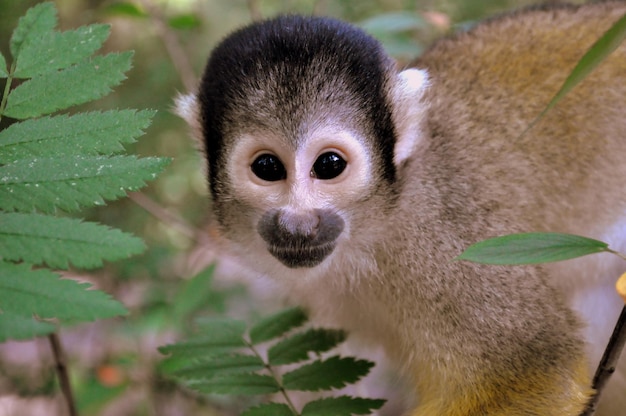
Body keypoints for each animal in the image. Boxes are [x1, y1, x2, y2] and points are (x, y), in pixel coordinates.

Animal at [176, 1, 624, 414]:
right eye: (267, 167)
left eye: (329, 165)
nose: (299, 224)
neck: (377, 226)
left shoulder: (443, 233)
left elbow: (534, 367)